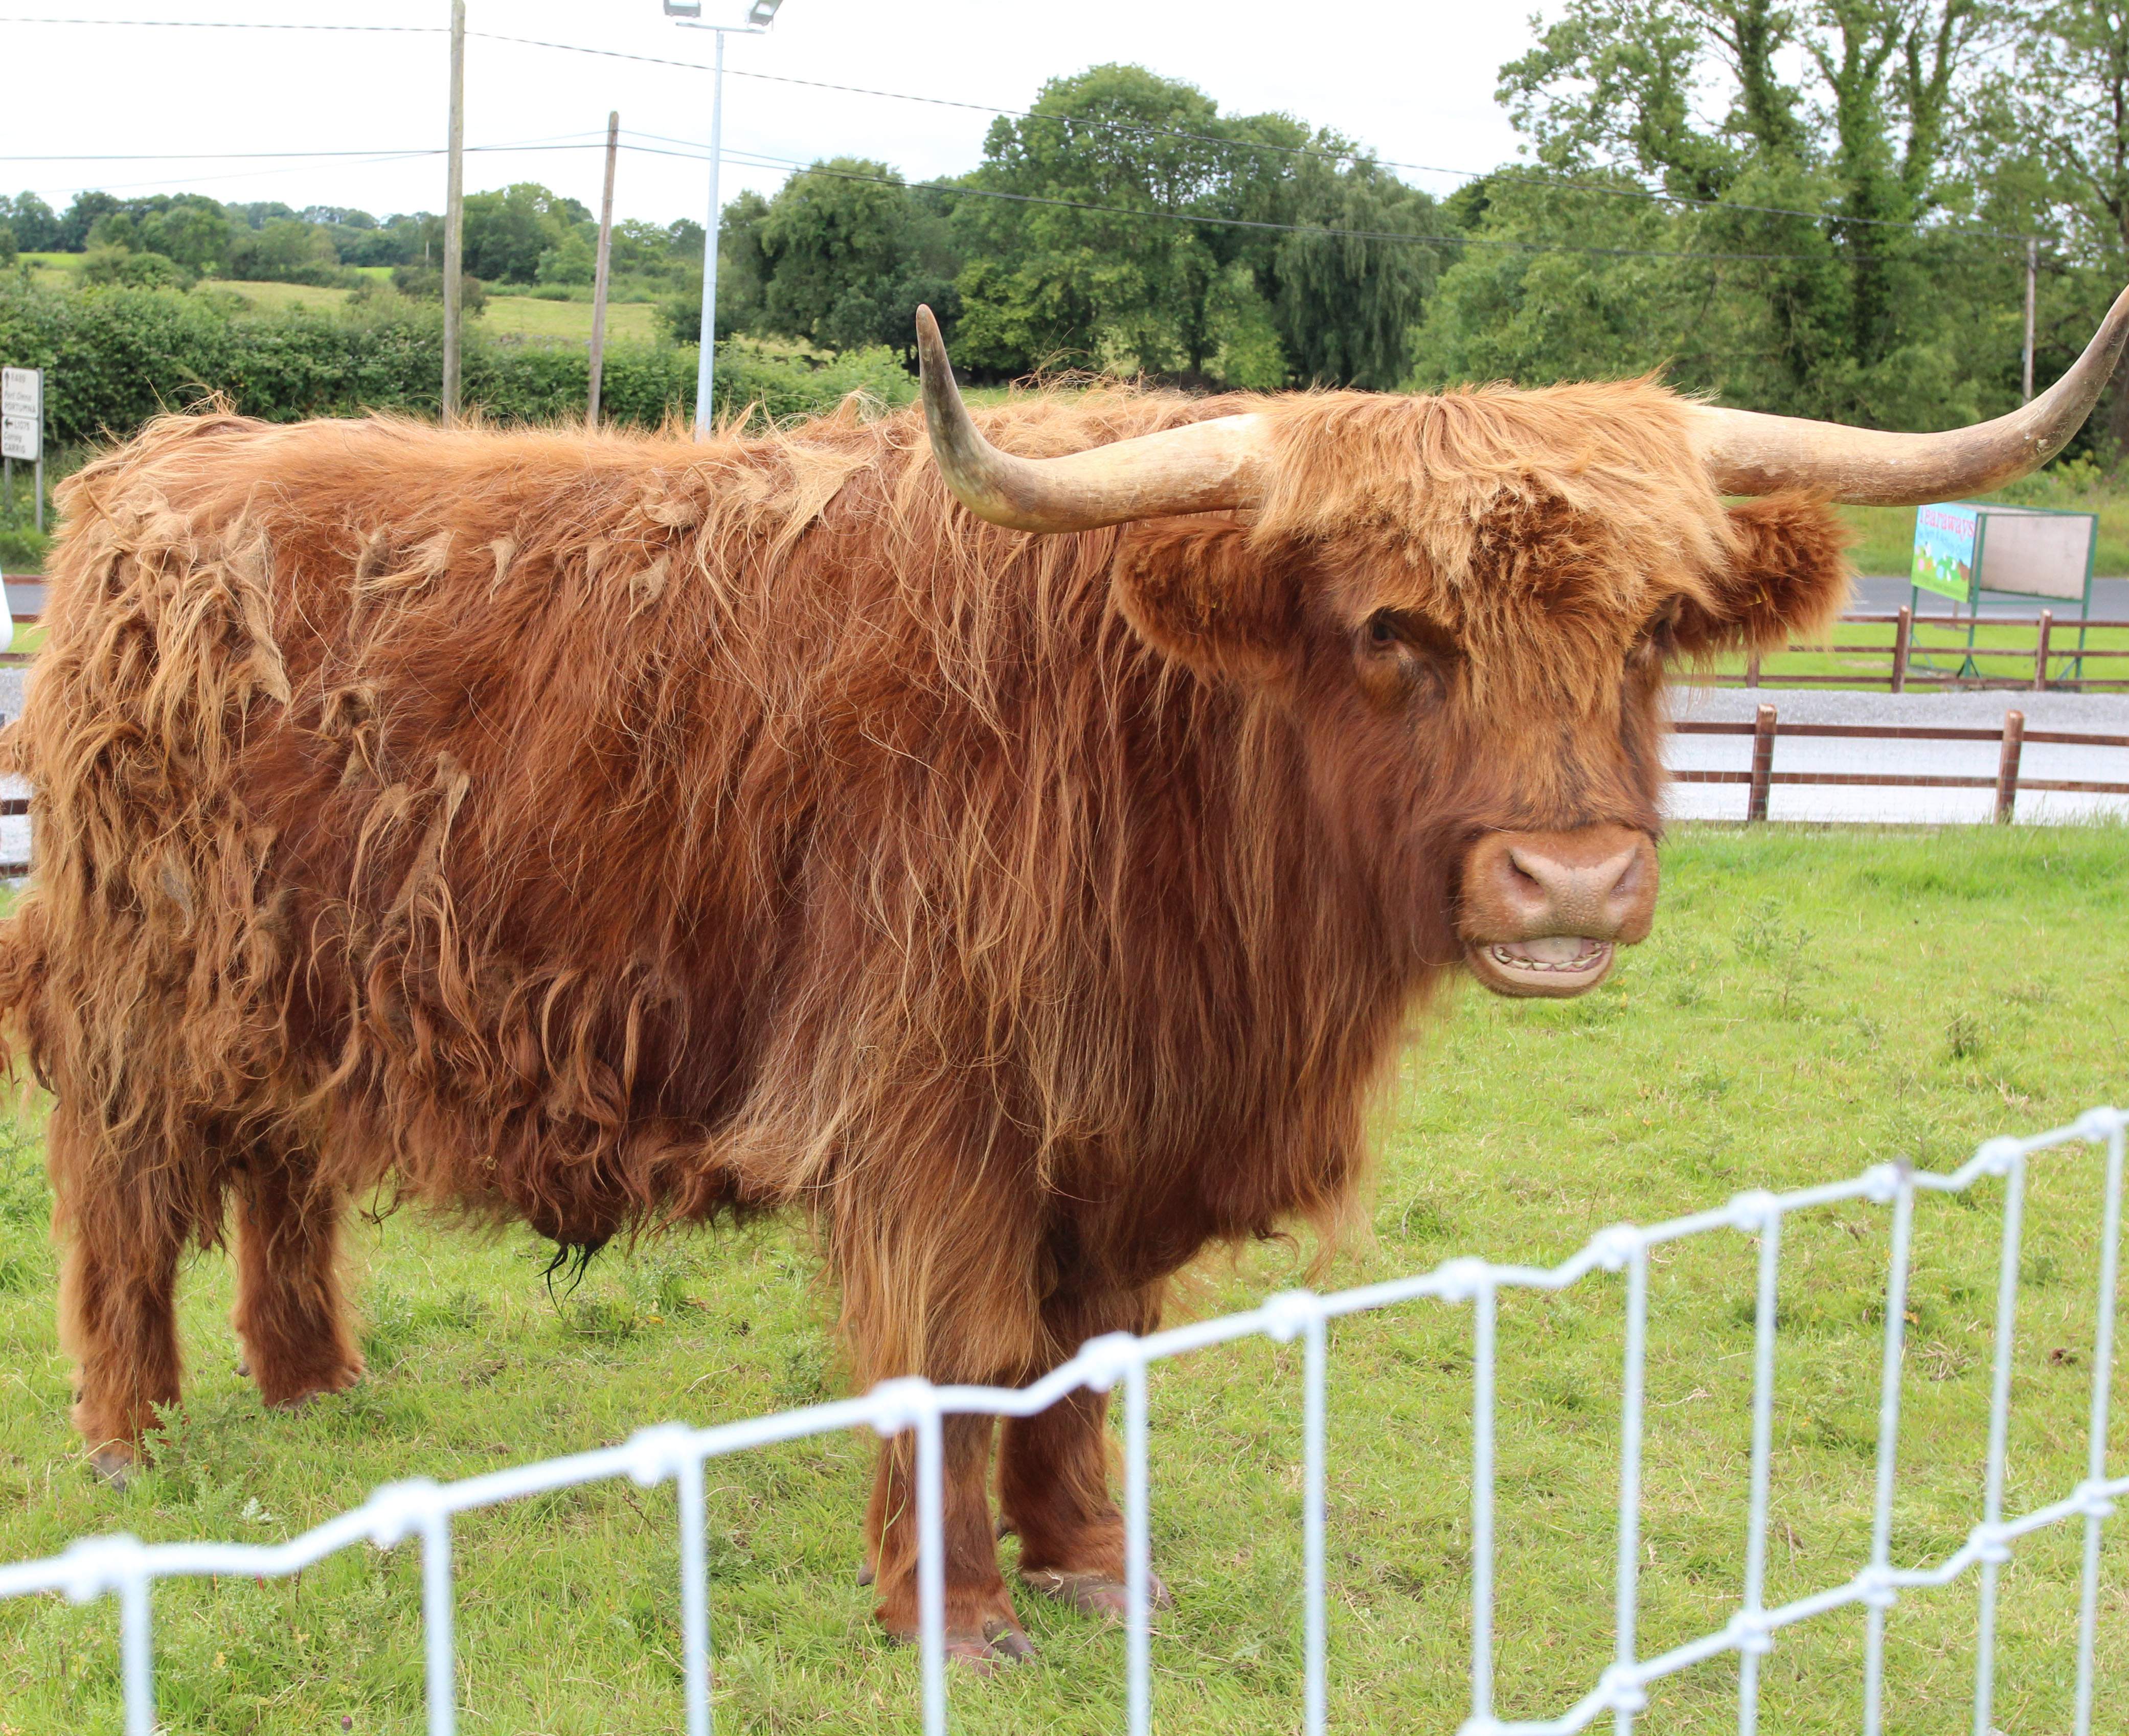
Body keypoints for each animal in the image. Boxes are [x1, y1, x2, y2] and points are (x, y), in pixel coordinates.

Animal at [0, 302, 2120, 1668]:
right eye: (1392, 631)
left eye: (1660, 627)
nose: (1574, 878)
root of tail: (161, 463)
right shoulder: (928, 1114)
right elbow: (954, 1357)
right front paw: (953, 1619)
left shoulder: (1118, 1134)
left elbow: (1079, 1360)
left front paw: (1100, 1571)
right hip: (129, 997)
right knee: (121, 1203)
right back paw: (132, 1435)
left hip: (303, 995)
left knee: (283, 1179)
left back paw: (316, 1387)